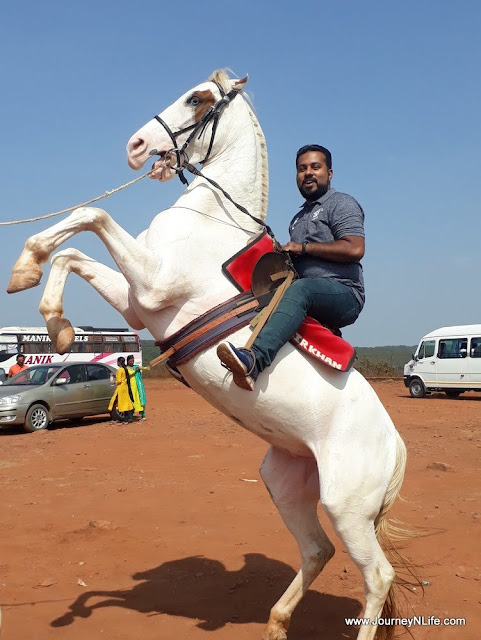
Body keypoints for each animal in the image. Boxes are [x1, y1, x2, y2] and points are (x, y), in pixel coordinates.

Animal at [8, 70, 408, 640]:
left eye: (197, 98)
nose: (135, 146)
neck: (210, 220)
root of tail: (395, 446)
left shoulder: (152, 285)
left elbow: (92, 214)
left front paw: (29, 268)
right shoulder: (137, 303)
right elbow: (73, 253)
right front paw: (52, 318)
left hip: (347, 507)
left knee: (377, 576)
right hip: (287, 483)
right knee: (316, 551)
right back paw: (276, 623)